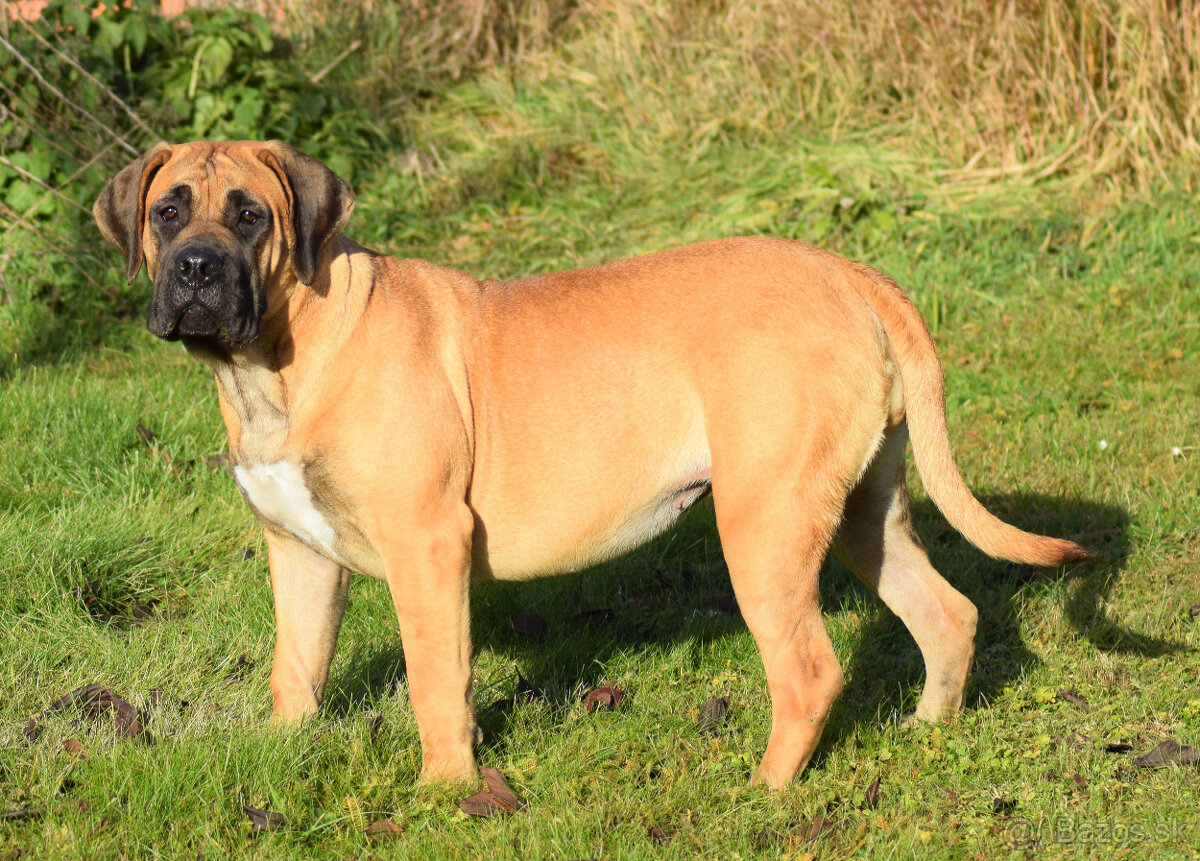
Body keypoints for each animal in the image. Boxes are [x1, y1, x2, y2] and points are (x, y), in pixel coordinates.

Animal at [91, 141, 1089, 791]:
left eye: (250, 215)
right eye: (167, 212)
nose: (196, 271)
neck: (274, 362)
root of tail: (852, 275)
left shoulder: (427, 547)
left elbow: (436, 681)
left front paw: (446, 792)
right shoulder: (298, 552)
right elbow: (295, 669)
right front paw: (285, 754)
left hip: (763, 522)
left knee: (809, 670)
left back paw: (762, 792)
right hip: (858, 512)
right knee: (946, 611)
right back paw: (928, 730)